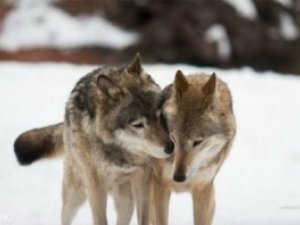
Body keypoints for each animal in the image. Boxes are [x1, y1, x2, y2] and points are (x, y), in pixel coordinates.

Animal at [14, 54, 172, 225]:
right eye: (138, 124)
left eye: (159, 115)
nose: (171, 147)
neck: (120, 152)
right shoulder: (95, 185)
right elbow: (100, 219)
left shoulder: (143, 179)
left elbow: (144, 218)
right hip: (75, 195)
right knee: (64, 216)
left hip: (125, 201)